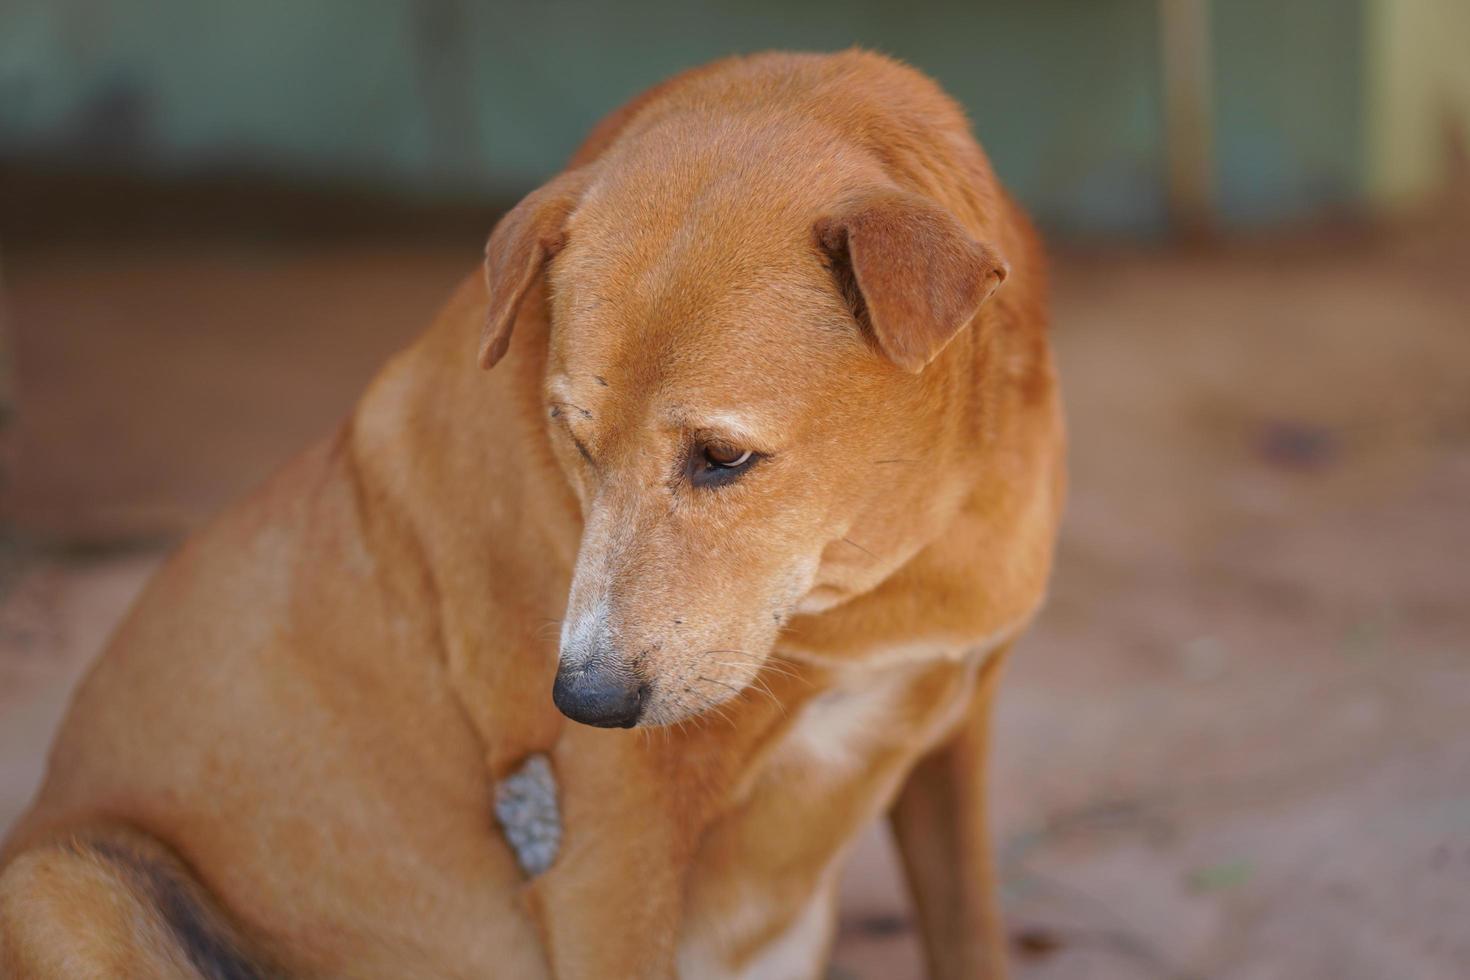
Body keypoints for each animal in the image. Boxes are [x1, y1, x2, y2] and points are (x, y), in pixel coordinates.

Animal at [0, 51, 1058, 980]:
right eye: (573, 439)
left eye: (722, 458)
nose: (582, 703)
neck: (877, 574)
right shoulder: (607, 855)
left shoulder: (953, 737)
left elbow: (971, 935)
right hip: (57, 882)